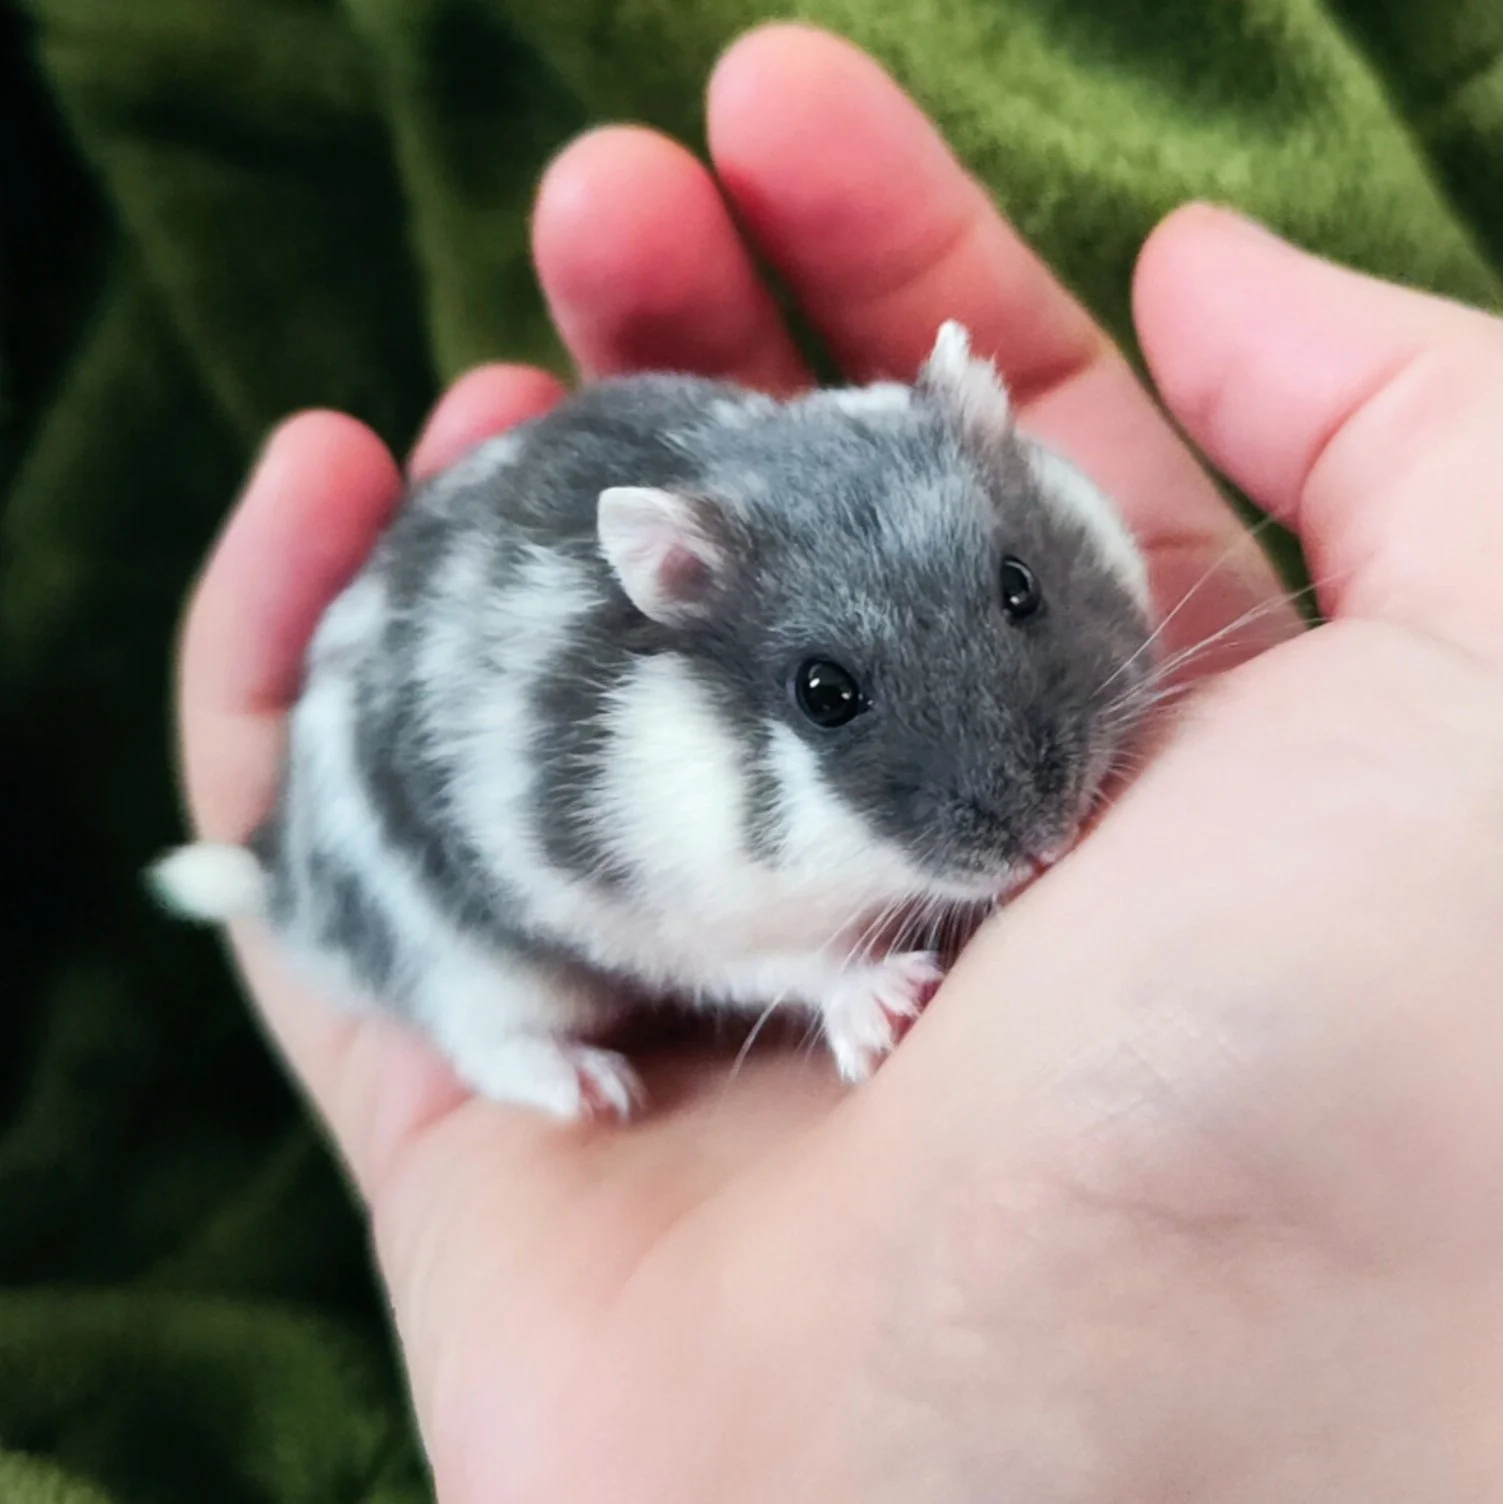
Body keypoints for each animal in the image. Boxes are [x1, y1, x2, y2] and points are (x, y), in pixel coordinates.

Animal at [150, 323, 1156, 1121]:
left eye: (1019, 586)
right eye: (824, 693)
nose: (1048, 844)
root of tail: (281, 874)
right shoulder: (677, 919)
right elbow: (797, 963)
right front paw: (891, 1003)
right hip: (459, 959)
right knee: (484, 1043)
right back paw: (597, 1090)